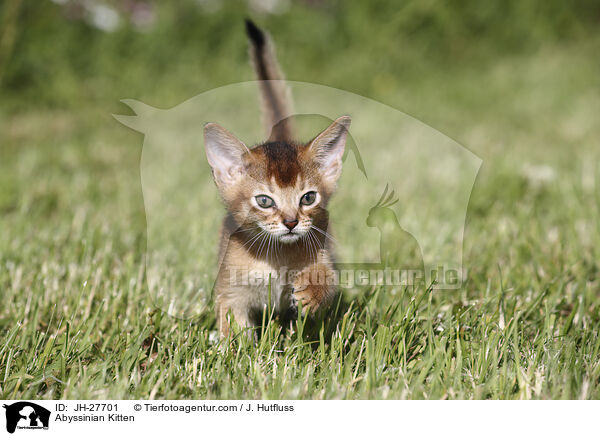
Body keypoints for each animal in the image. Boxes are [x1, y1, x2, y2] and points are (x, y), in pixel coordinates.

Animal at [204, 20, 350, 338]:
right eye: (264, 201)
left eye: (308, 197)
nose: (292, 222)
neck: (276, 257)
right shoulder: (230, 294)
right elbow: (233, 327)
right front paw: (234, 349)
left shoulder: (324, 253)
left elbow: (327, 280)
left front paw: (311, 289)